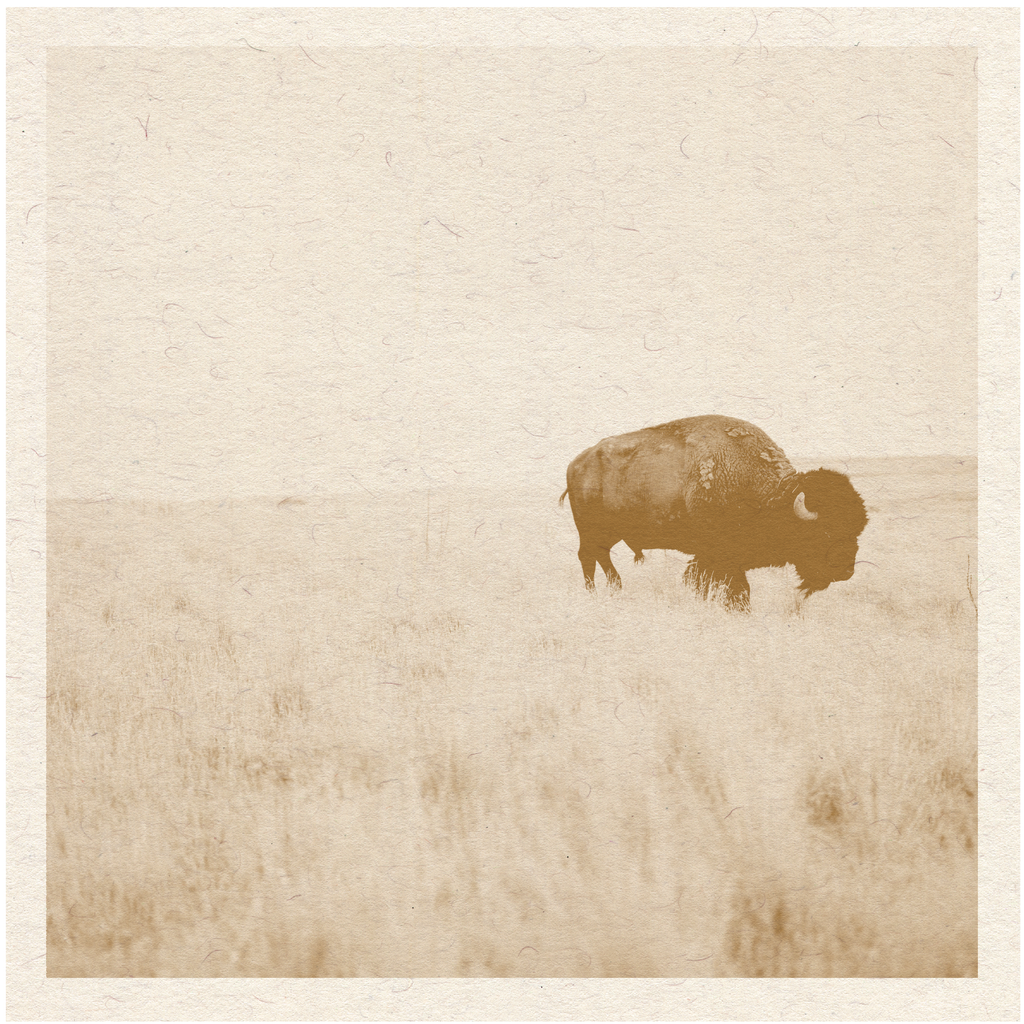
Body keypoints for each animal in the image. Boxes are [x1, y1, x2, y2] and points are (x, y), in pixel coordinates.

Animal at [560, 415, 868, 610]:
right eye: (824, 530)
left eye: (858, 529)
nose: (846, 571)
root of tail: (576, 463)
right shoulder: (720, 556)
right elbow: (737, 590)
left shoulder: (713, 558)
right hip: (590, 530)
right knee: (588, 558)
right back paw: (593, 593)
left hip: (610, 533)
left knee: (601, 557)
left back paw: (616, 588)